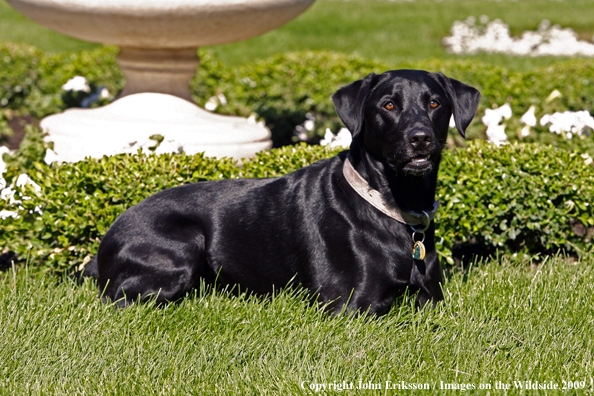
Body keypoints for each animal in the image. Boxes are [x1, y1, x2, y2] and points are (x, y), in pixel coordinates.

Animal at [82, 69, 476, 314]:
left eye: (435, 103)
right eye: (389, 105)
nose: (420, 138)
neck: (396, 205)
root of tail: (101, 249)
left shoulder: (432, 299)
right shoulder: (350, 305)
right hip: (182, 245)